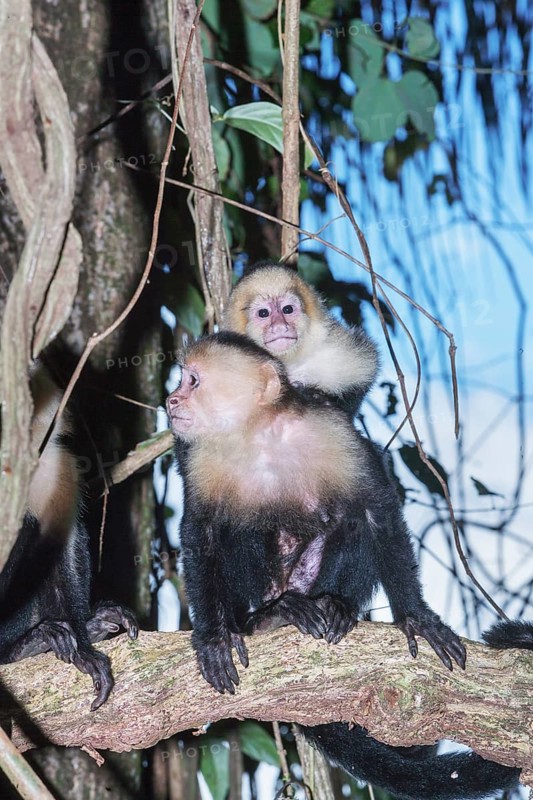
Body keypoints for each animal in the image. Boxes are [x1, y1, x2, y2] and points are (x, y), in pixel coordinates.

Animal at [165, 331, 531, 799]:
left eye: (192, 381)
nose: (172, 399)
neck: (258, 433)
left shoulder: (332, 431)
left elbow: (376, 507)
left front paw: (415, 617)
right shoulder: (201, 458)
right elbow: (202, 533)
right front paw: (214, 637)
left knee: (349, 517)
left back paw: (336, 606)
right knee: (239, 529)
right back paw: (269, 616)